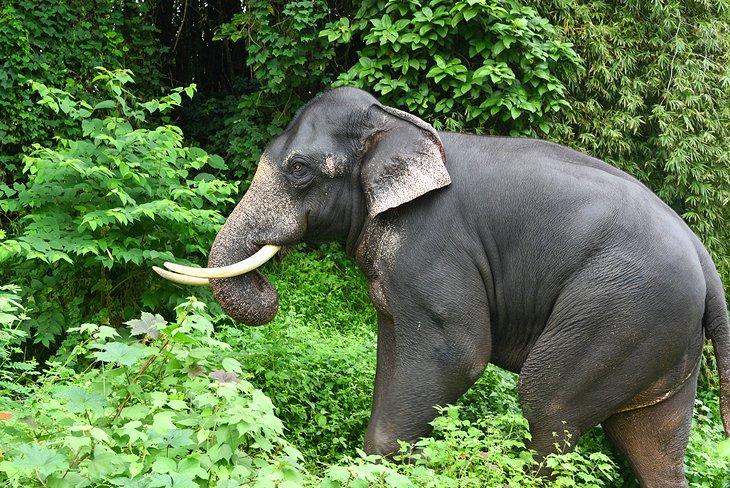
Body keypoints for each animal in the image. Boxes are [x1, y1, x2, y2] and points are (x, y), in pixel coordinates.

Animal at [155, 87, 729, 487]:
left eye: (299, 170)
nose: (269, 291)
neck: (396, 121)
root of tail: (707, 262)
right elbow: (393, 351)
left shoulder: (434, 244)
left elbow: (454, 353)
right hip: (658, 334)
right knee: (651, 438)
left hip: (621, 309)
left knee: (549, 406)